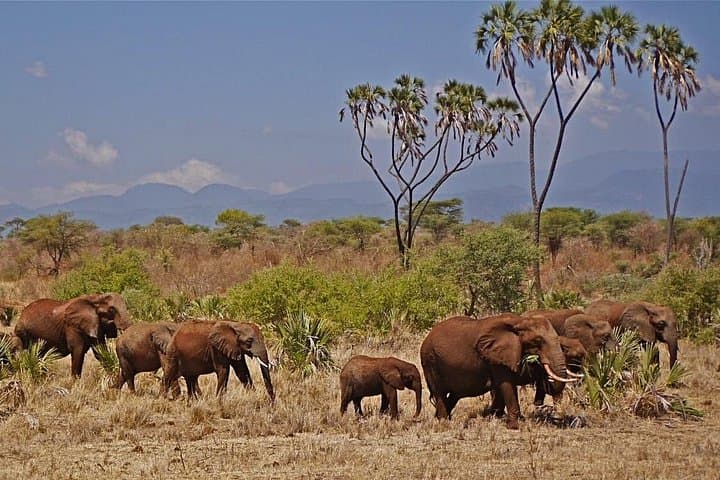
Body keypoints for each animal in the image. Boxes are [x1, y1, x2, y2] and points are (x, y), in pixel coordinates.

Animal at [420, 314, 578, 429]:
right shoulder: (496, 357)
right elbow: (506, 385)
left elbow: (504, 386)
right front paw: (514, 426)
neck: (519, 321)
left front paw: (495, 417)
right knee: (439, 392)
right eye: (538, 341)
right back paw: (444, 422)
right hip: (430, 361)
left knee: (454, 395)